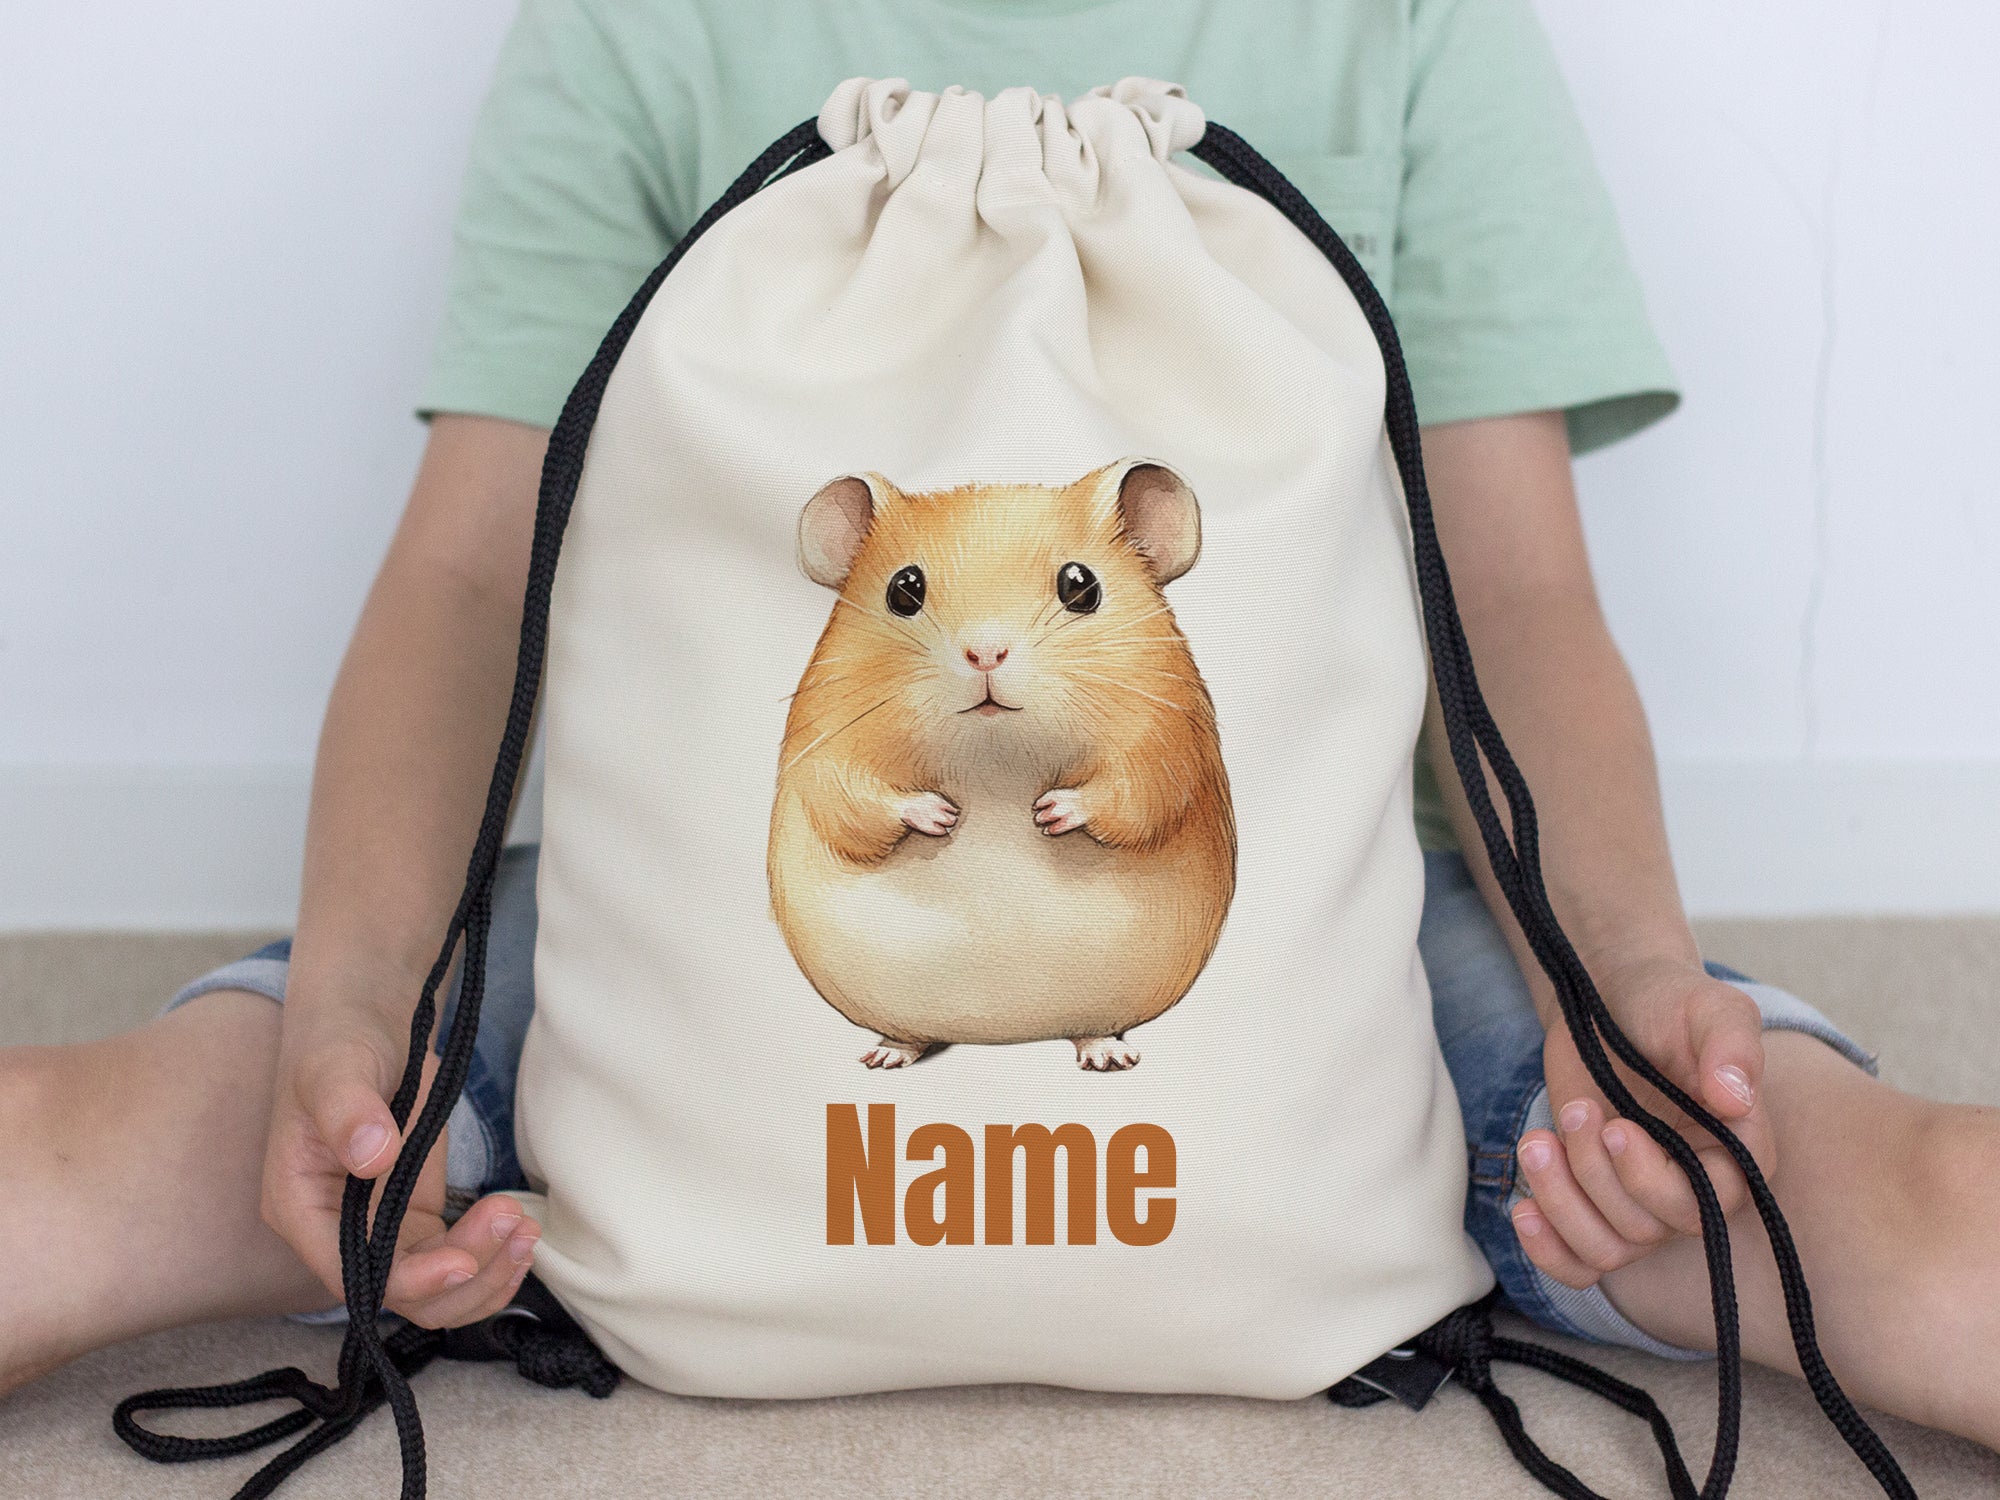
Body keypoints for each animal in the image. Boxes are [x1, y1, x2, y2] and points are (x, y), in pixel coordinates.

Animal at [767, 458, 1236, 1071]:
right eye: (903, 589)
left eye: (1081, 585)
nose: (985, 653)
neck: (995, 762)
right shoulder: (823, 743)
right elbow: (855, 800)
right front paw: (942, 816)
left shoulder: (1168, 740)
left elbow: (1132, 795)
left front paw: (1048, 812)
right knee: (907, 1034)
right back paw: (886, 1057)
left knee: (1094, 1029)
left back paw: (1108, 1058)